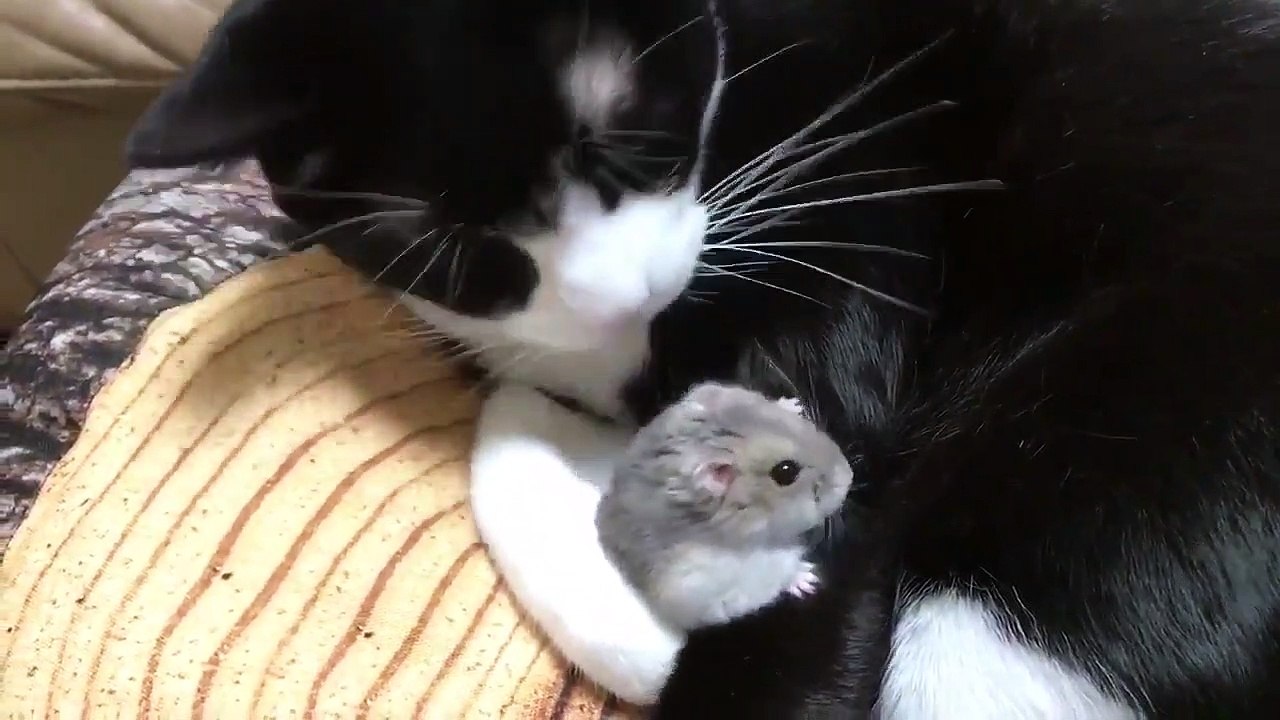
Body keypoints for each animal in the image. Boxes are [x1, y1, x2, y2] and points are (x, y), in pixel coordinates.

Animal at [596, 381, 855, 630]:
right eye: (786, 472)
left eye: (796, 422)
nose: (849, 476)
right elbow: (780, 574)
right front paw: (809, 578)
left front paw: (792, 404)